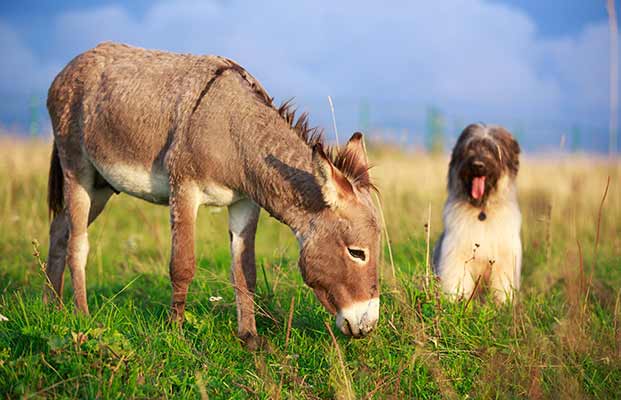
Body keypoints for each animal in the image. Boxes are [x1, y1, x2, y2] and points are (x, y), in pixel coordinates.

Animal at [434, 123, 520, 302]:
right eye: (470, 148)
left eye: (493, 150)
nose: (477, 165)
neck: (482, 210)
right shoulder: (456, 255)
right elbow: (456, 280)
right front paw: (454, 302)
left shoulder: (505, 259)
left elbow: (502, 286)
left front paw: (503, 304)